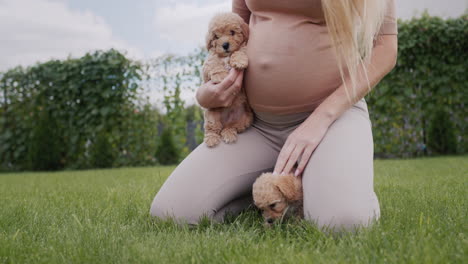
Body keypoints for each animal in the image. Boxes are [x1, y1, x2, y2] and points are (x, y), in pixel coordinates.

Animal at [201, 12, 252, 147]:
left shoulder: (243, 48)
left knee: (231, 127)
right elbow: (214, 62)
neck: (226, 56)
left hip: (244, 118)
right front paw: (221, 76)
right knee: (213, 129)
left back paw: (228, 134)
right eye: (216, 36)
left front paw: (239, 61)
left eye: (232, 32)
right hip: (211, 116)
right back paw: (212, 139)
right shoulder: (208, 63)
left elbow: (240, 51)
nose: (225, 45)